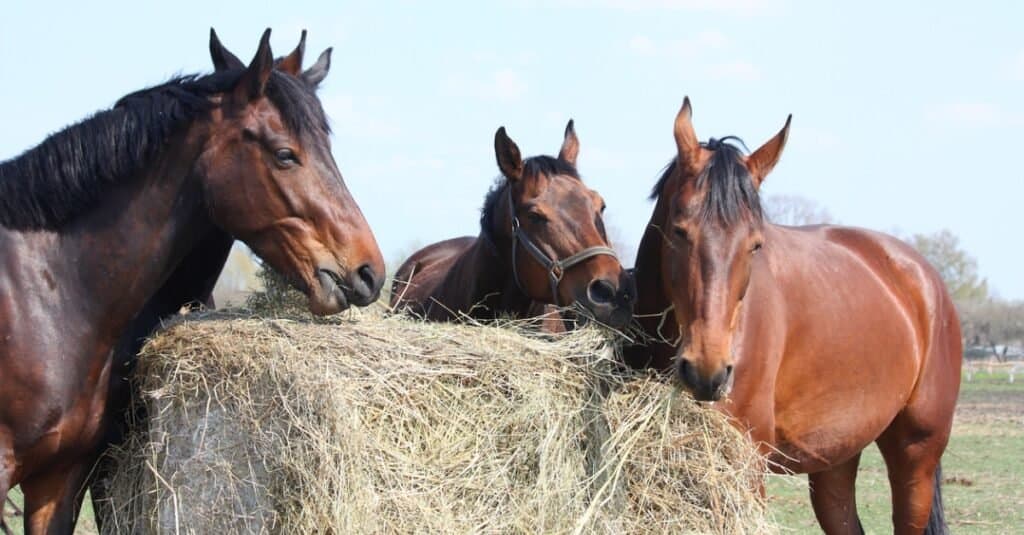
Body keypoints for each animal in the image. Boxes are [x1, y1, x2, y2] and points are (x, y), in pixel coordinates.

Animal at [618, 97, 962, 528]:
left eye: (755, 244)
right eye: (680, 231)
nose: (706, 372)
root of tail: (925, 277)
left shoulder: (747, 468)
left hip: (916, 457)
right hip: (835, 460)